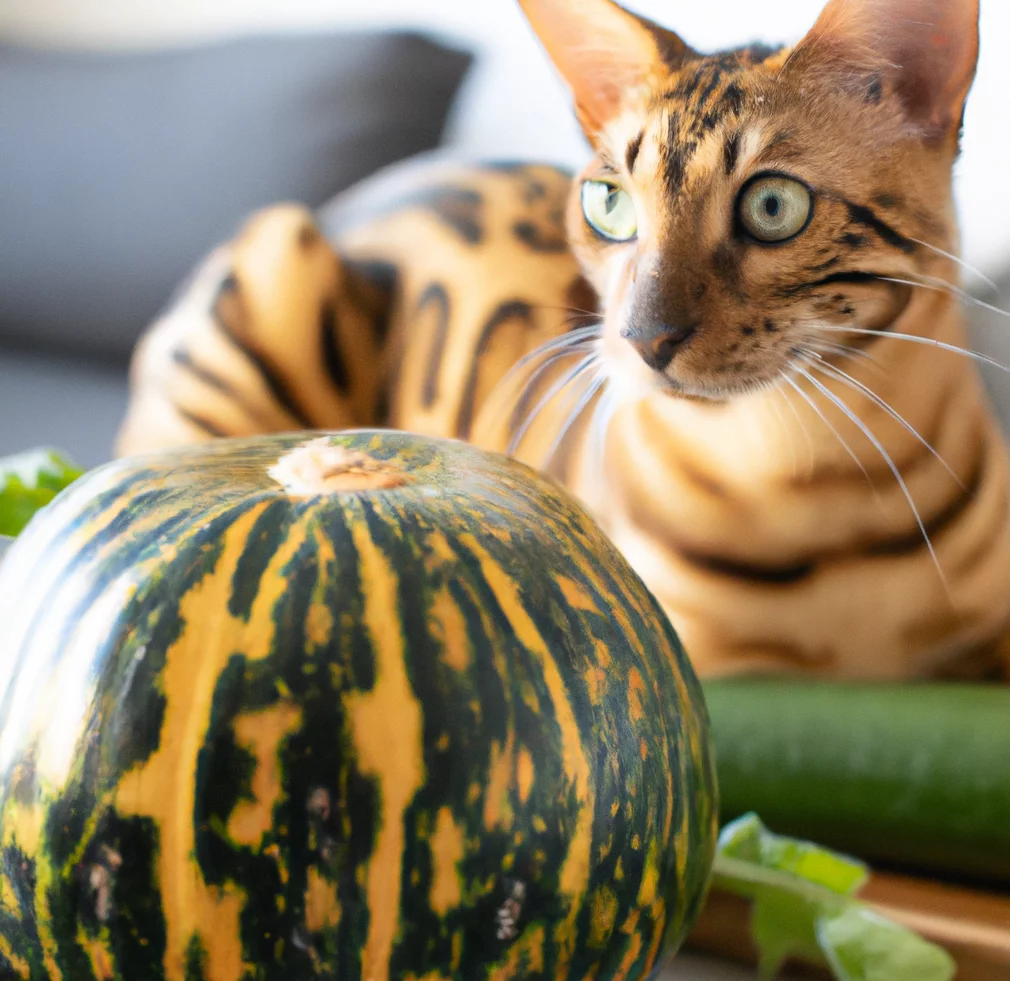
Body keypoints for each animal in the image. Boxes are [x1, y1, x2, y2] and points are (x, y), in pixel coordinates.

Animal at [112, 0, 1010, 682]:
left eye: (773, 206)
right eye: (609, 205)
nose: (643, 337)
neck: (824, 483)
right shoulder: (717, 668)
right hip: (272, 262)